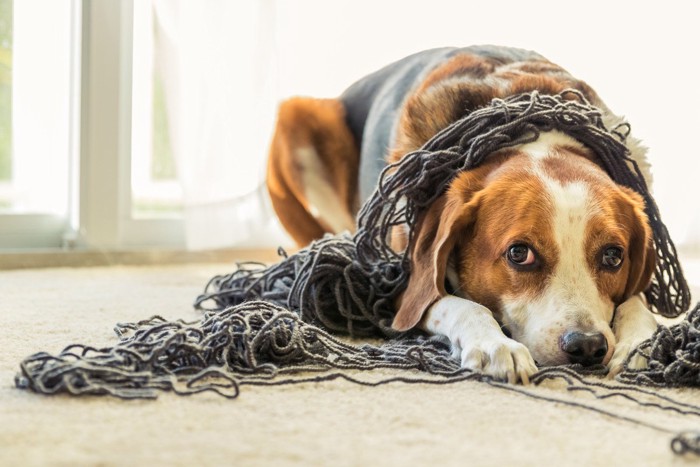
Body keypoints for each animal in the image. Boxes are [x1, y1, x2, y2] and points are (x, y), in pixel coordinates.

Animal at [266, 45, 660, 384]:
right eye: (519, 254)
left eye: (613, 256)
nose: (587, 346)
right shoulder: (395, 284)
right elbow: (460, 305)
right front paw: (496, 345)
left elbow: (637, 302)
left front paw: (641, 343)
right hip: (294, 120)